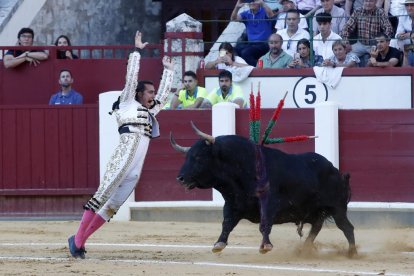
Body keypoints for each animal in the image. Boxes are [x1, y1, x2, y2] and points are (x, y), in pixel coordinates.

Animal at [170, 125, 358, 256]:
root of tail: (336, 171)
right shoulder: (233, 203)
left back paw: (352, 253)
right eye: (187, 157)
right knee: (317, 226)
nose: (180, 178)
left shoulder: (269, 202)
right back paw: (304, 250)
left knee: (347, 227)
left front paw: (265, 246)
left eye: (199, 157)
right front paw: (219, 244)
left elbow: (265, 223)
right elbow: (227, 223)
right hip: (313, 211)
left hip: (337, 208)